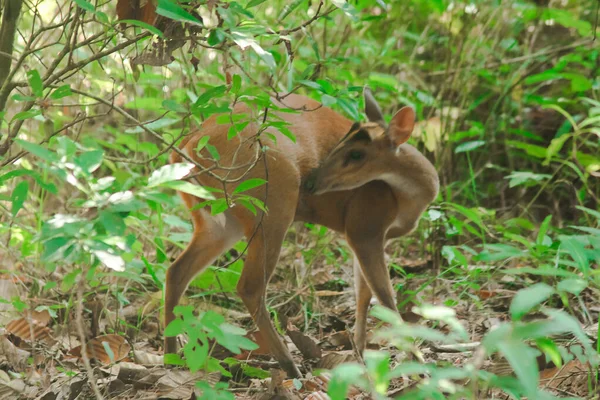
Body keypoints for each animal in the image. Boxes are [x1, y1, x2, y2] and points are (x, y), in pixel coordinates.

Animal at [165, 87, 440, 378]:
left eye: (356, 154)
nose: (310, 183)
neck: (407, 198)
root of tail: (190, 143)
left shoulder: (365, 236)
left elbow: (363, 296)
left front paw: (361, 355)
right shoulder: (364, 227)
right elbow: (385, 297)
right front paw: (419, 363)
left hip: (220, 222)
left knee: (176, 271)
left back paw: (171, 356)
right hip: (274, 203)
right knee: (249, 286)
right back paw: (290, 366)